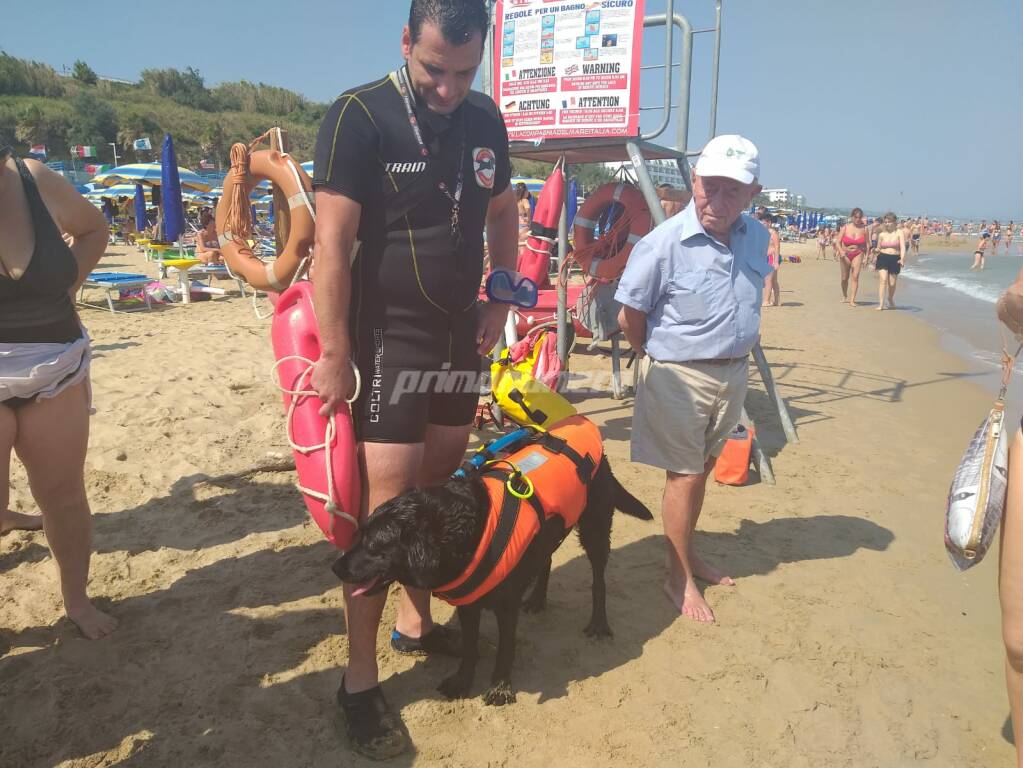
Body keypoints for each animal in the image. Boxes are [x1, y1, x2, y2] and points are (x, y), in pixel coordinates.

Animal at [335, 456, 654, 707]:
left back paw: (599, 623)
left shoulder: (506, 607)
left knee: (599, 579)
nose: (335, 567)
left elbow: (505, 649)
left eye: (374, 544)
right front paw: (462, 682)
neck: (470, 530)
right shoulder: (468, 605)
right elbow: (469, 648)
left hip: (595, 527)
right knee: (546, 561)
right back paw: (537, 599)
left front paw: (500, 688)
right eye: (359, 532)